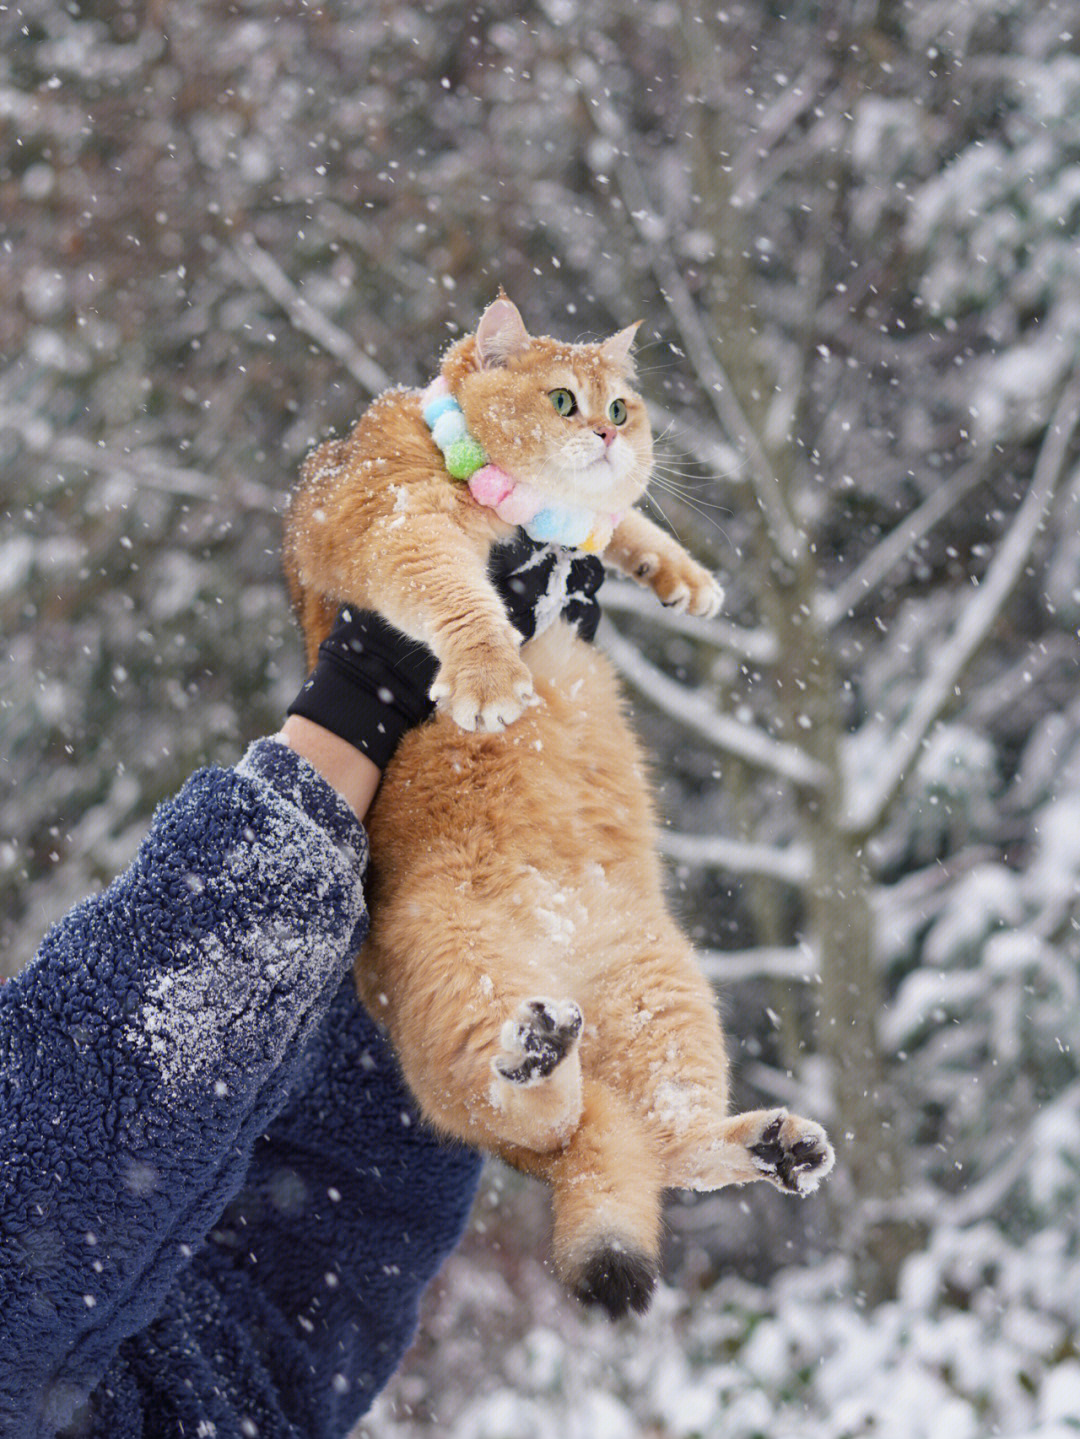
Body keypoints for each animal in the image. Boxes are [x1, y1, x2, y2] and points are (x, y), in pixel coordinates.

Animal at [280, 294, 834, 1318]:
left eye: (623, 405)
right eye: (567, 400)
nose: (610, 435)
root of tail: (560, 957)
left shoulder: (582, 528)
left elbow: (619, 523)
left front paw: (682, 574)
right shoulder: (391, 521)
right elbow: (459, 598)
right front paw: (492, 677)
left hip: (663, 991)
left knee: (653, 1140)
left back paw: (770, 1142)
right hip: (459, 975)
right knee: (542, 1121)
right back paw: (536, 1054)